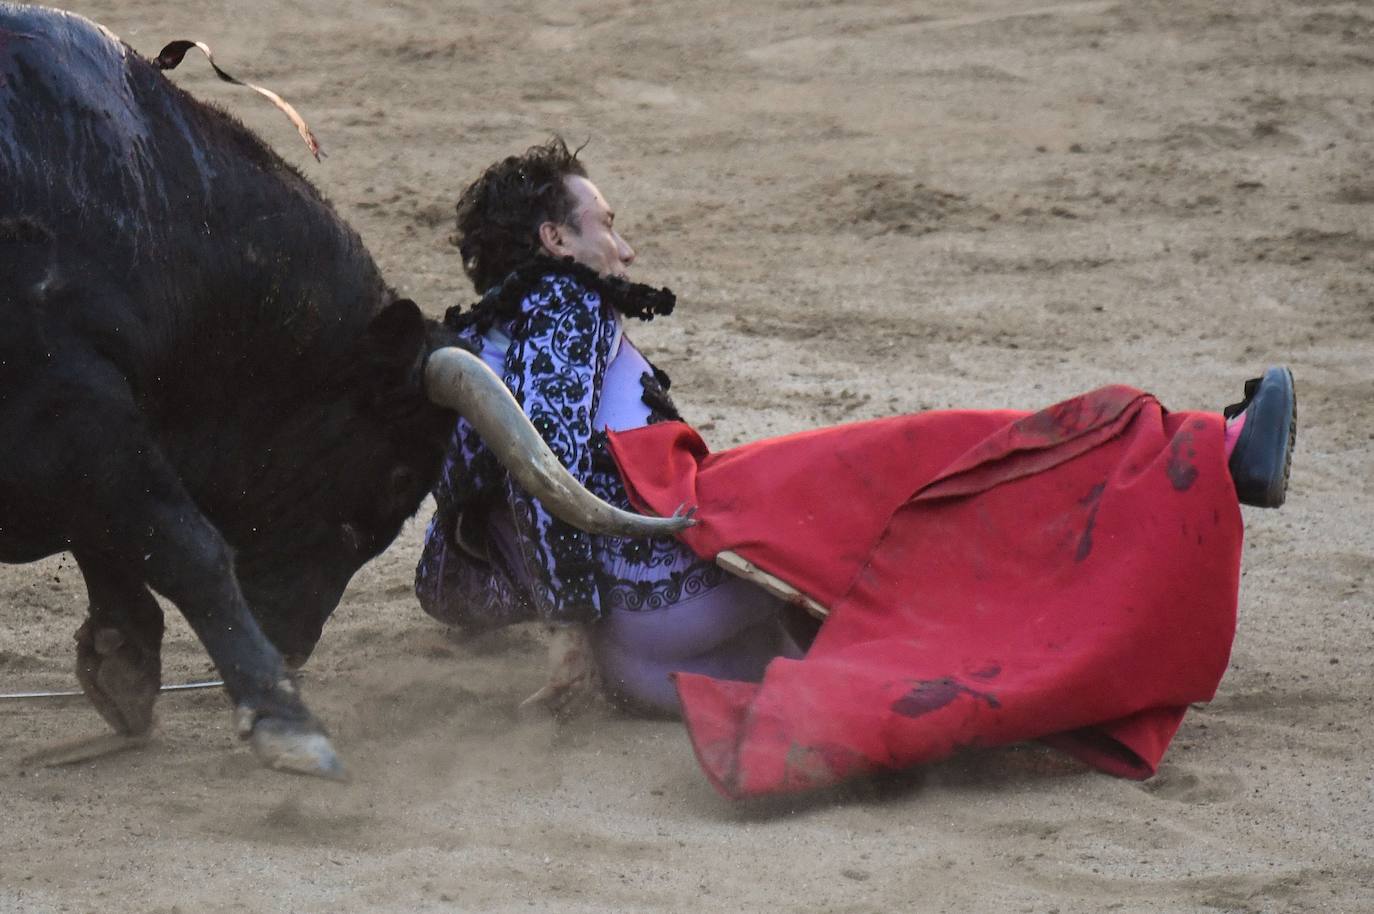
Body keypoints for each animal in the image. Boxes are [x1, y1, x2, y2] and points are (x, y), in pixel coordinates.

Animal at [0, 5, 687, 775]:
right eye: (396, 477)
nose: (292, 646)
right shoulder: (66, 396)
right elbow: (182, 542)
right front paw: (285, 720)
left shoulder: (83, 419)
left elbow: (117, 532)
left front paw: (123, 666)